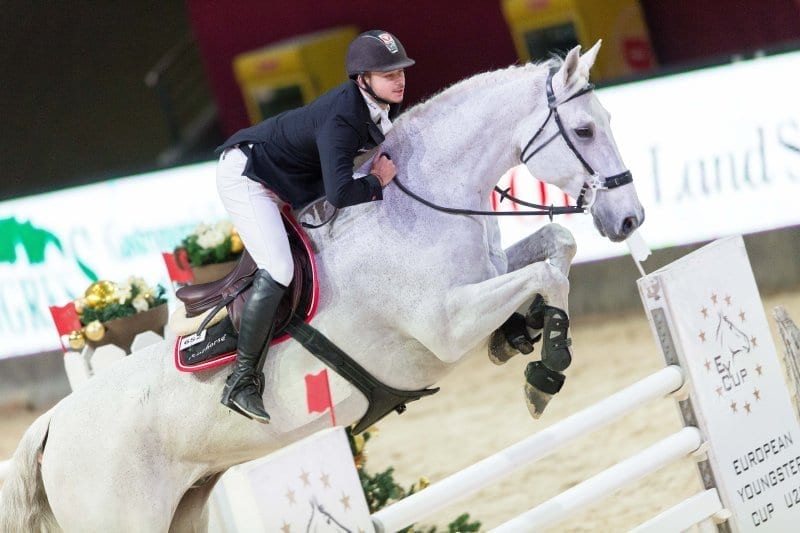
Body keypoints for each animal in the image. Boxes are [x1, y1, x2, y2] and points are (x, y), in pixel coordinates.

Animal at [1, 42, 644, 531]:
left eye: (610, 122)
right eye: (584, 129)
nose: (630, 219)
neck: (422, 202)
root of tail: (49, 428)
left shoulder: (485, 277)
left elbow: (556, 247)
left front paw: (521, 334)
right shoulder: (445, 325)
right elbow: (547, 271)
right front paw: (545, 372)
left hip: (187, 506)